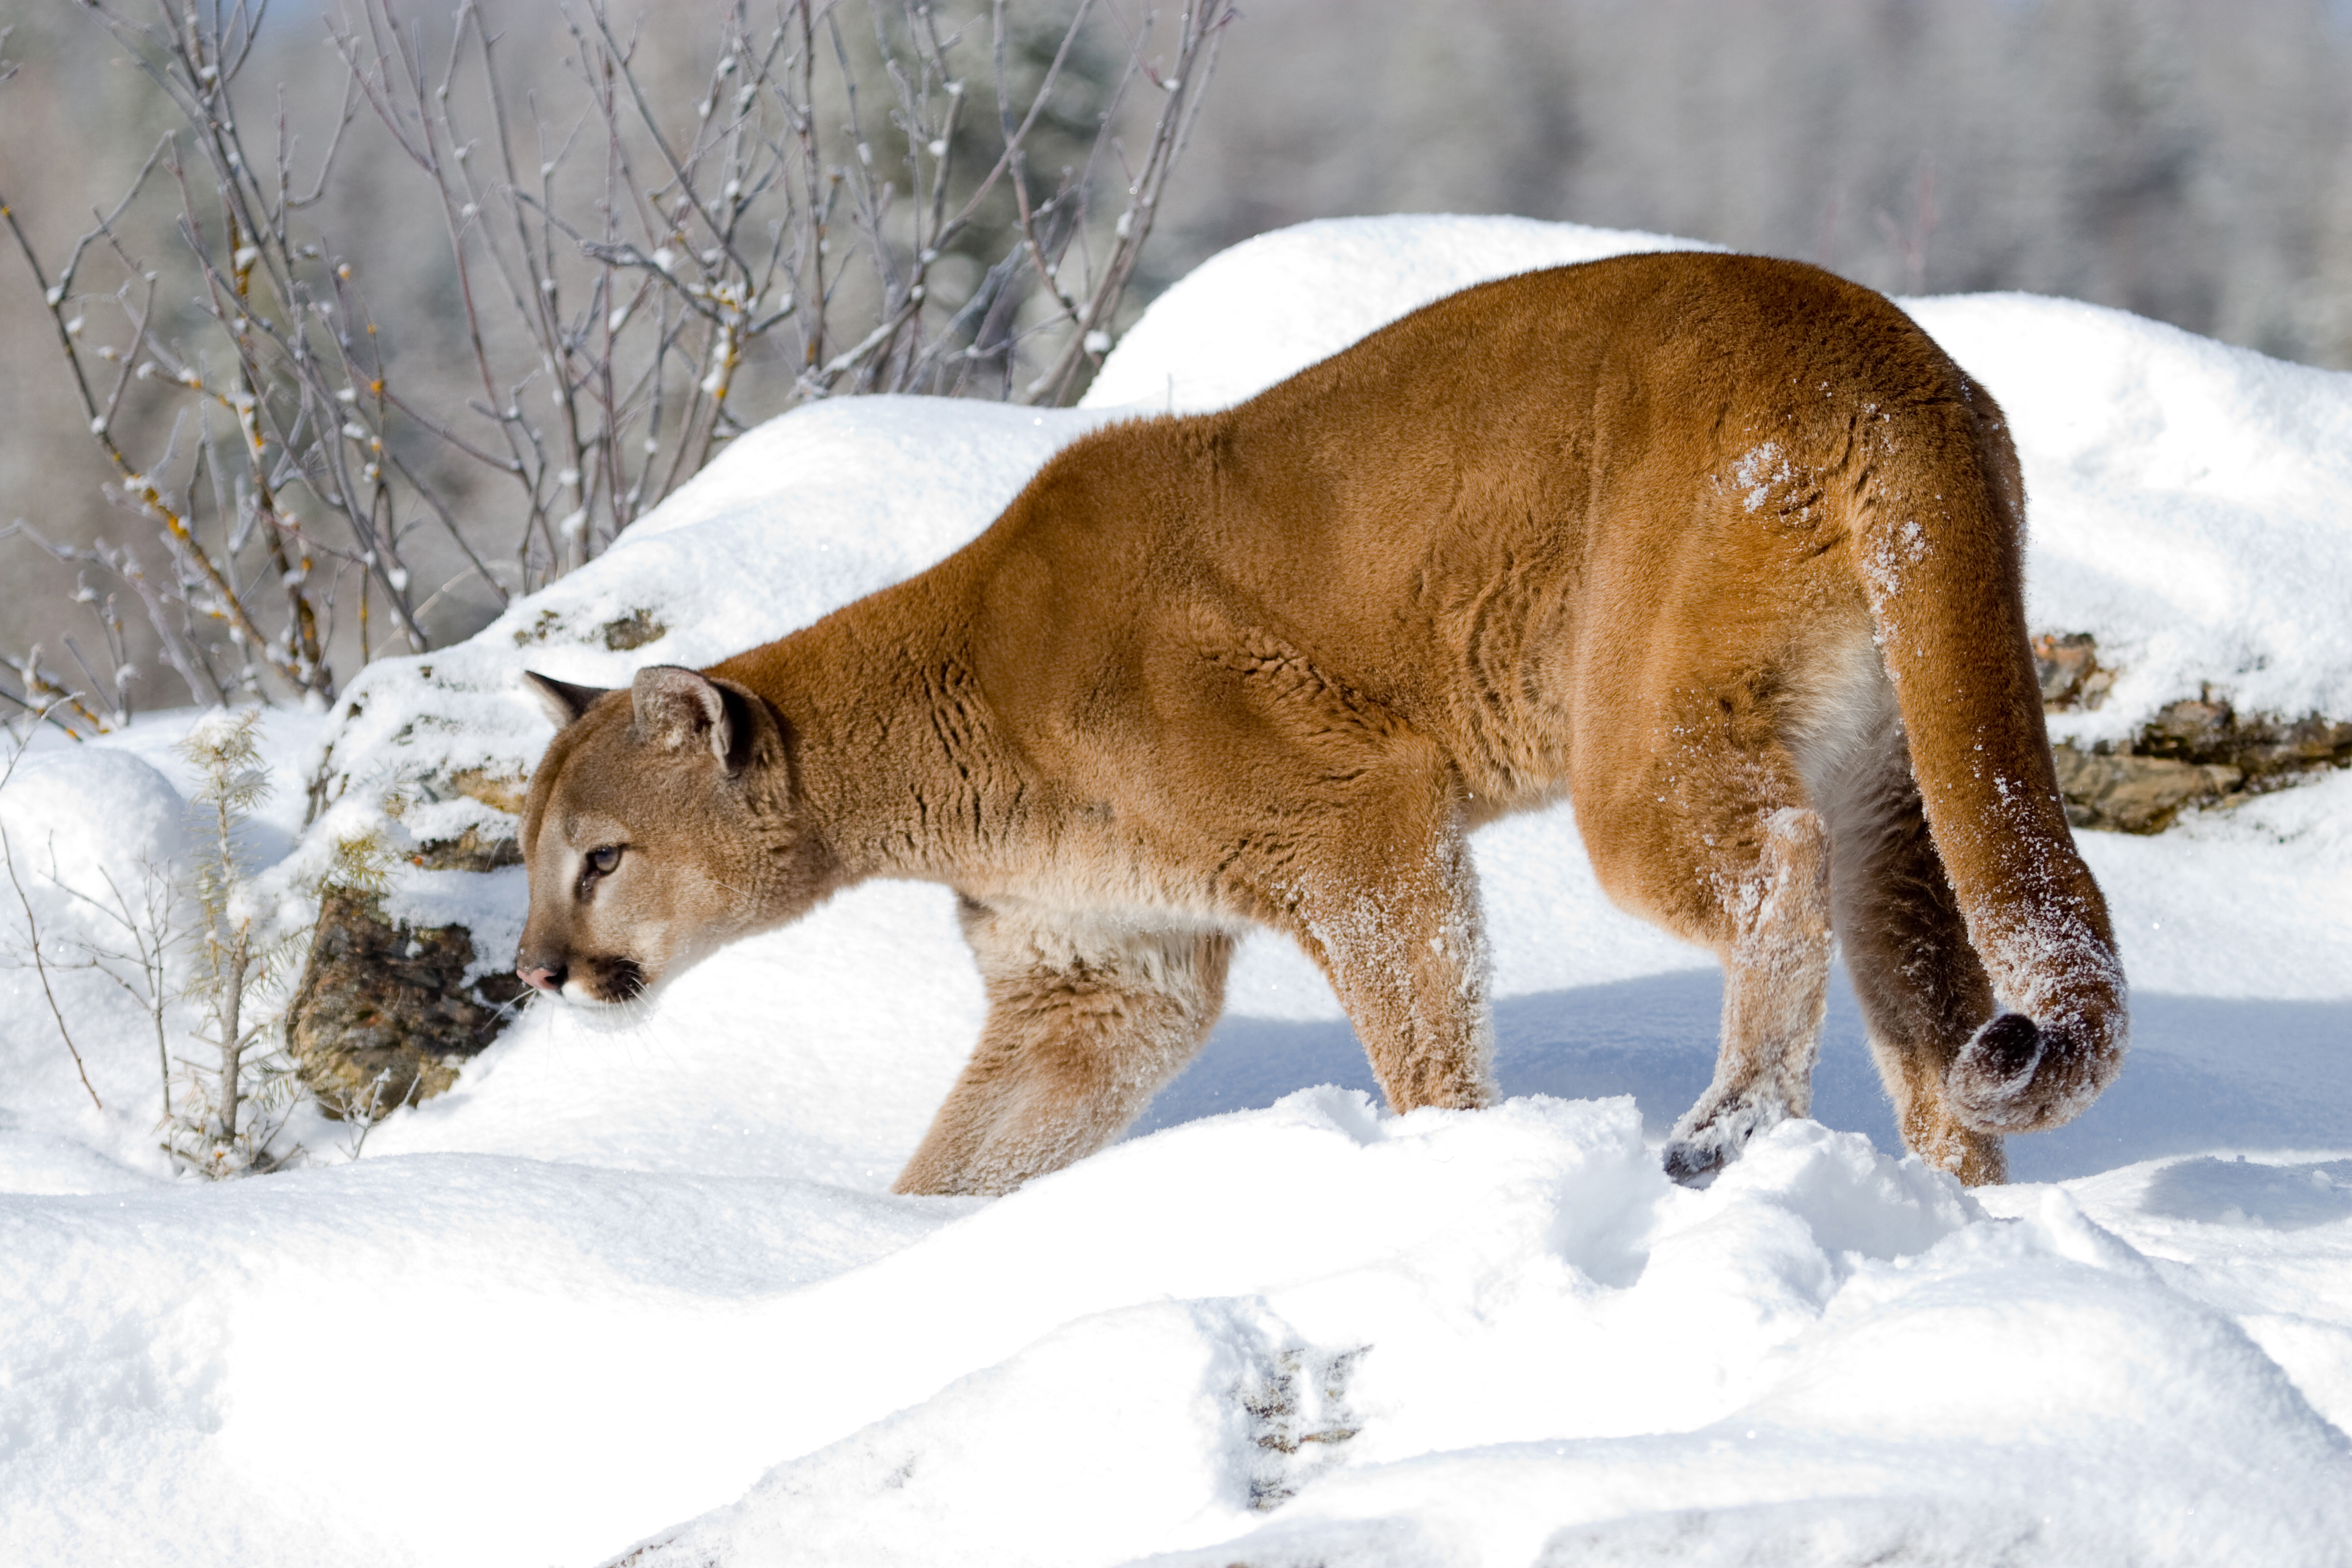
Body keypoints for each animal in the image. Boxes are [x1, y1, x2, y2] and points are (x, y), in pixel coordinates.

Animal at [515, 254, 2135, 1189]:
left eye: (599, 856)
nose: (534, 970)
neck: (958, 708)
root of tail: (1893, 357)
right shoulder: (1098, 978)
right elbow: (963, 1155)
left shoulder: (1359, 819)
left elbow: (1424, 1026)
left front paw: (1441, 1166)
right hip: (1890, 748)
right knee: (1925, 977)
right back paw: (1951, 1203)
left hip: (1643, 727)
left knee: (1777, 863)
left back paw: (1730, 1120)